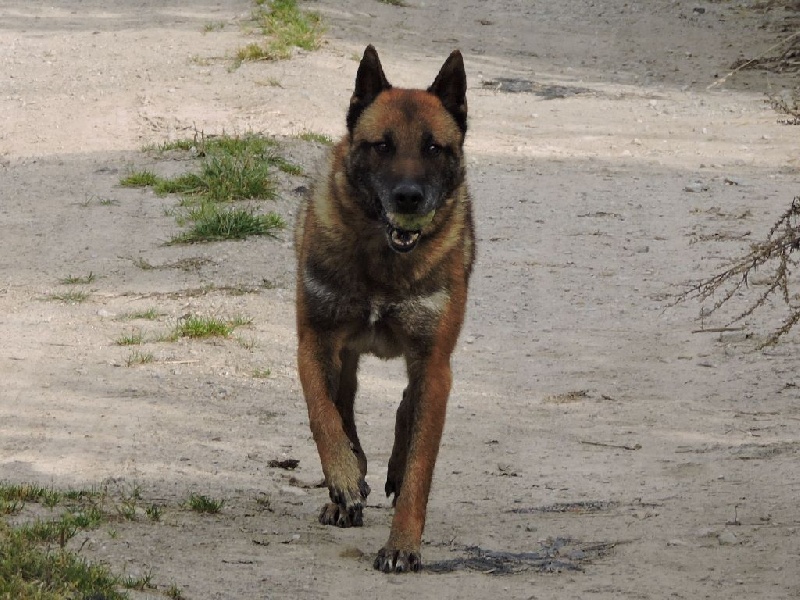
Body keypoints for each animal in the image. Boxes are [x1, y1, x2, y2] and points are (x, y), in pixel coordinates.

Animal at [296, 45, 476, 572]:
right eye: (382, 146)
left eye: (434, 148)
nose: (409, 198)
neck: (382, 261)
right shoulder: (314, 342)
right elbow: (323, 415)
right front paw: (343, 478)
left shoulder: (434, 364)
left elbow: (419, 467)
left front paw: (403, 546)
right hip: (345, 357)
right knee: (344, 407)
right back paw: (347, 487)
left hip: (430, 366)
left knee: (407, 406)